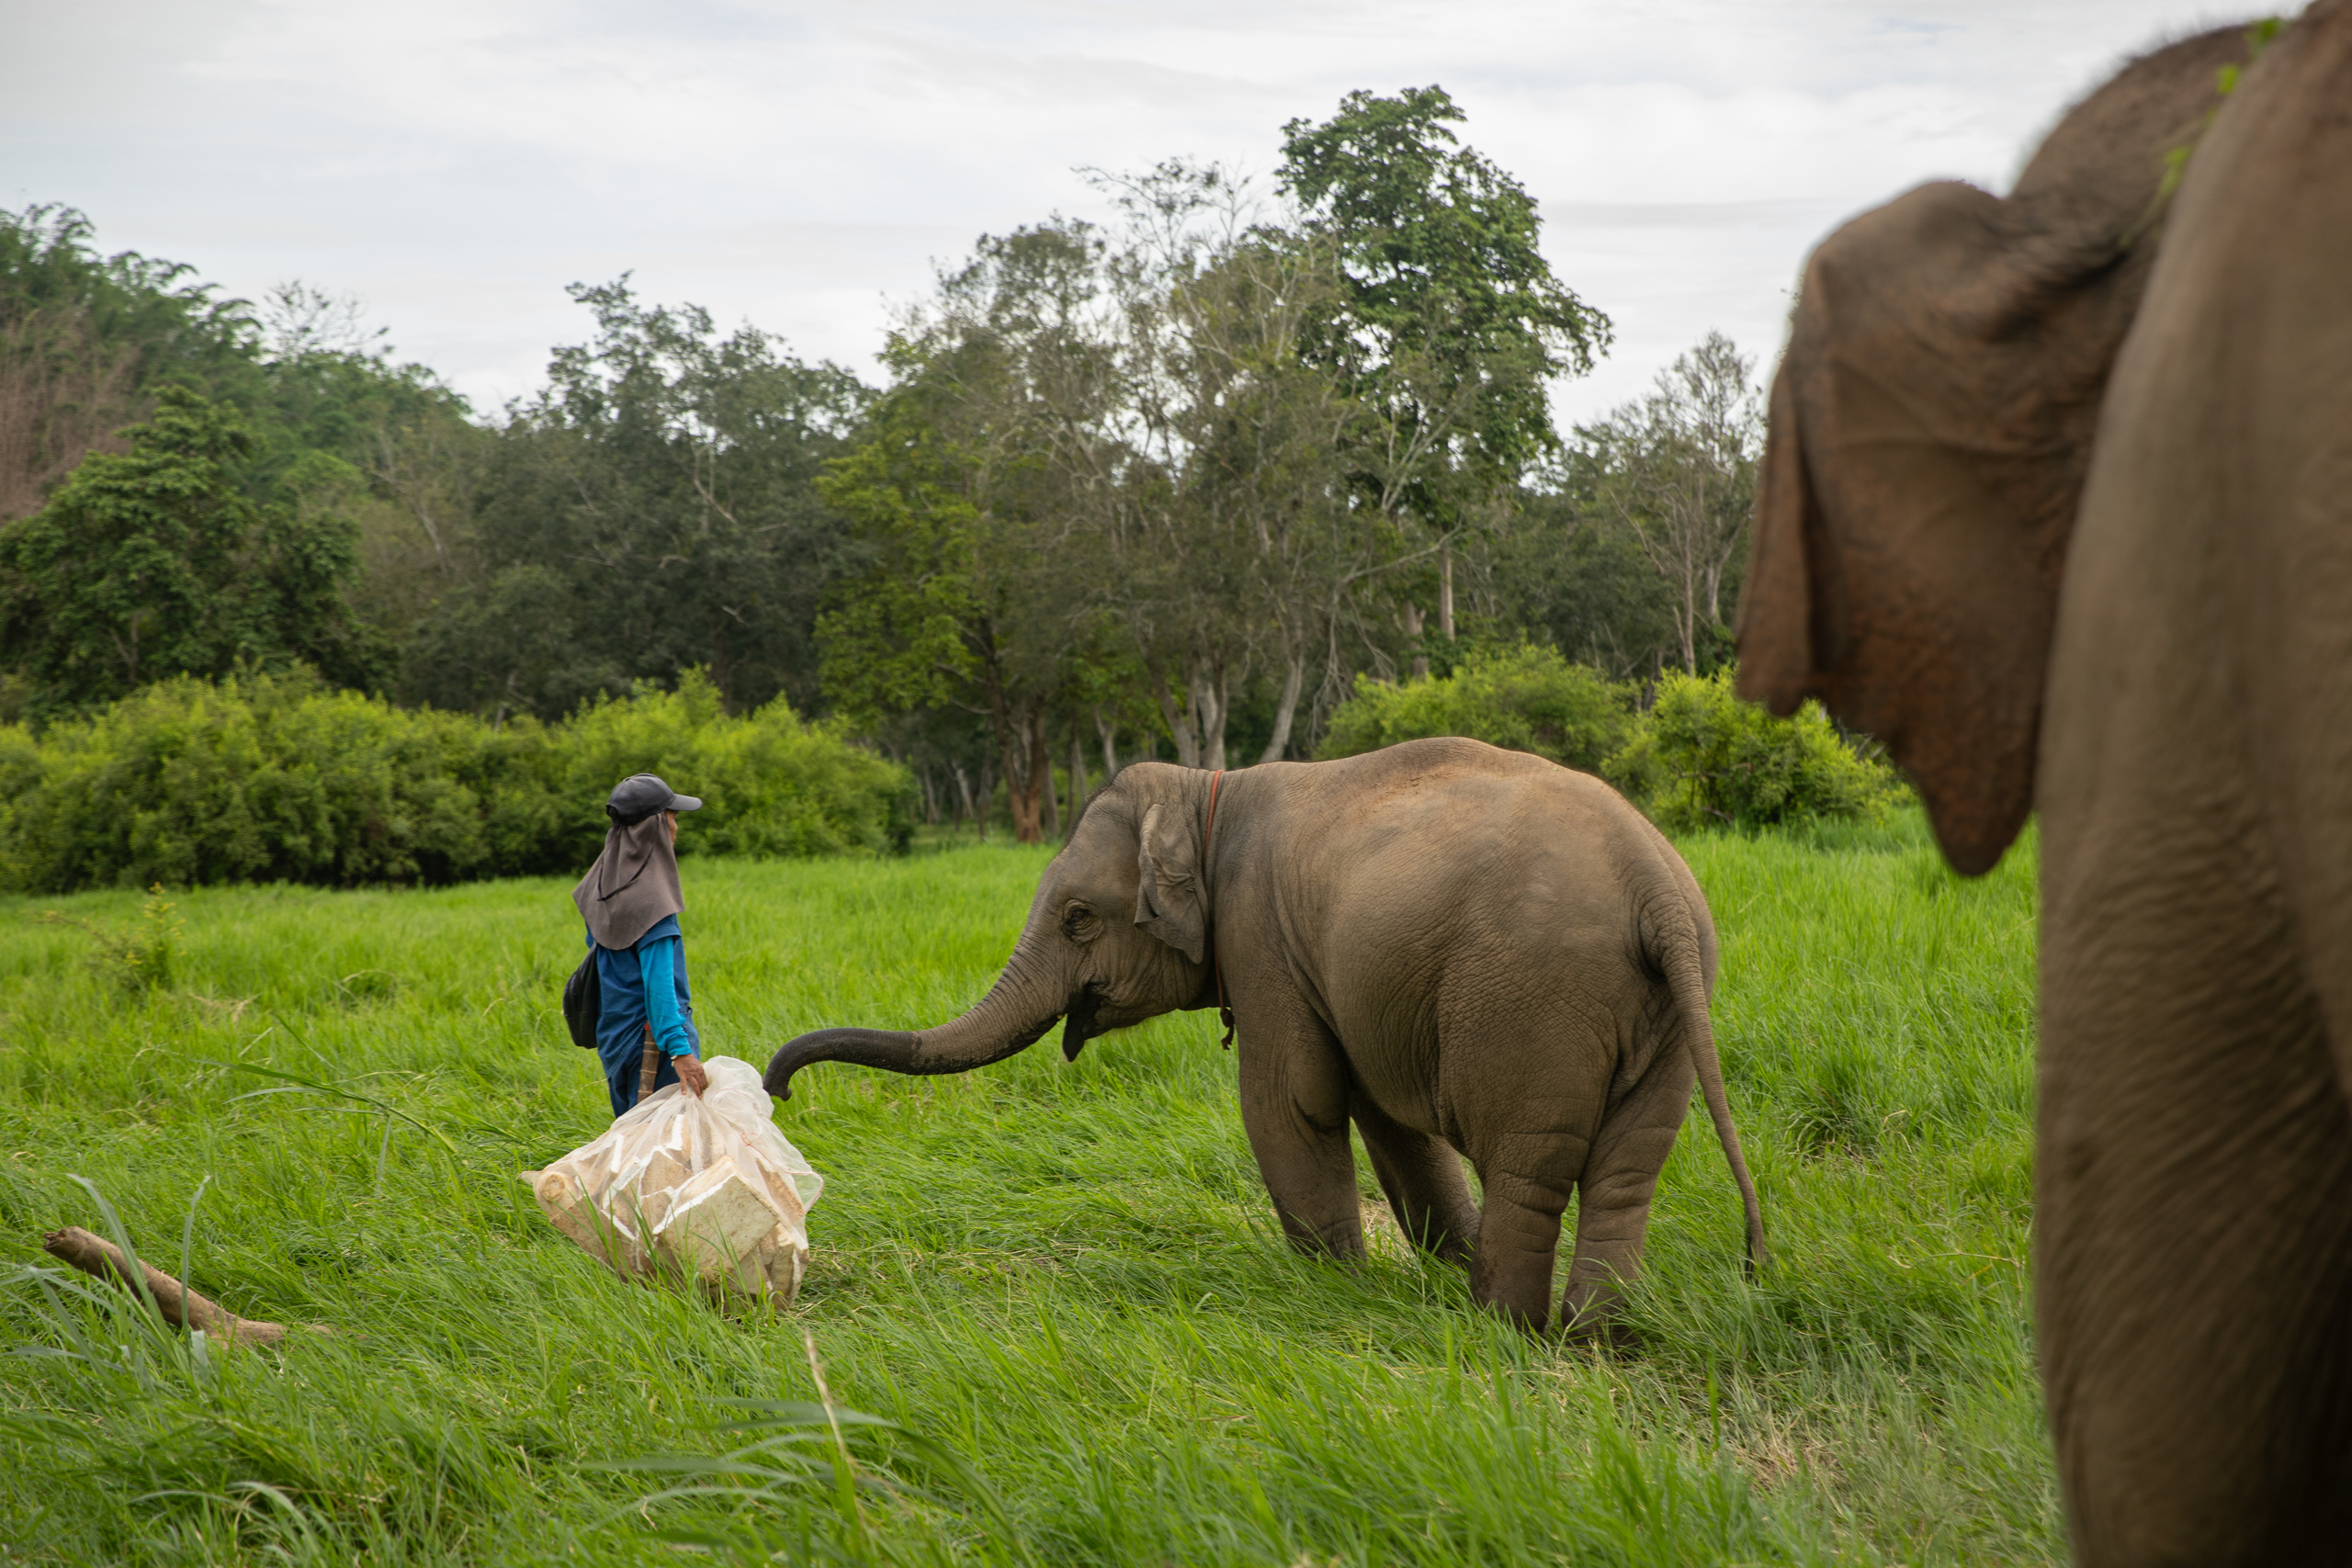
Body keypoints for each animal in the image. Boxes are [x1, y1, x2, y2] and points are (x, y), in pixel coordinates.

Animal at [766, 740, 1766, 1335]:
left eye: (1080, 918)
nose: (776, 1086)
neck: (1208, 789)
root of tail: (1654, 890)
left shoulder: (1262, 938)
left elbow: (1292, 1103)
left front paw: (1336, 1289)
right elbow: (1382, 1121)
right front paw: (1428, 1266)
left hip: (1530, 1003)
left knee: (1528, 1168)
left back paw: (1503, 1331)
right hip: (1662, 1019)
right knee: (1627, 1174)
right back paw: (1597, 1338)